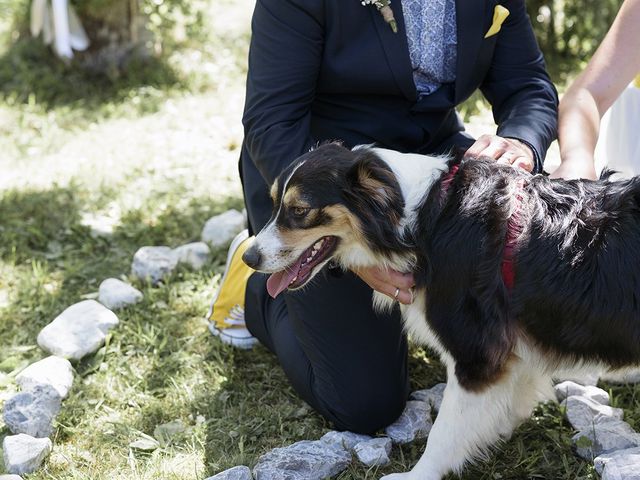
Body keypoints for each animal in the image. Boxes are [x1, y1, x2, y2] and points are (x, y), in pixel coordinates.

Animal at [241, 142, 640, 480]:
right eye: (273, 204)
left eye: (300, 211)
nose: (248, 258)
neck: (422, 218)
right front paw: (495, 429)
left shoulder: (476, 355)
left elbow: (445, 432)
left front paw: (417, 476)